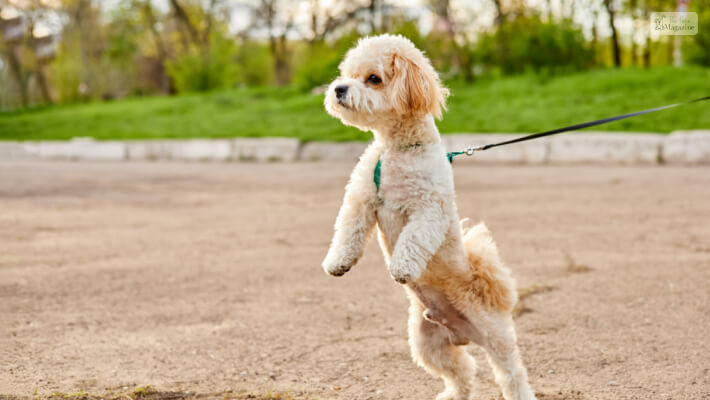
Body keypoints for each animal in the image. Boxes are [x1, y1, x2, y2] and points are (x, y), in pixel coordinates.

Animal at [322, 35, 536, 400]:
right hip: (427, 345)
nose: (338, 88)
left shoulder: (429, 210)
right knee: (463, 373)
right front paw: (338, 262)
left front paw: (401, 268)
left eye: (373, 78)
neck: (397, 150)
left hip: (497, 339)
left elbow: (413, 239)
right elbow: (348, 230)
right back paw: (452, 395)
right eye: (346, 74)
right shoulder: (362, 198)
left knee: (511, 375)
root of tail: (462, 332)